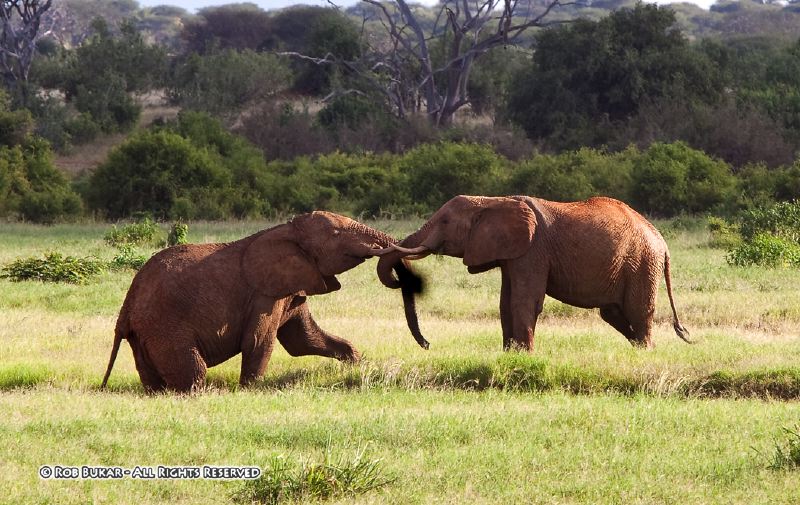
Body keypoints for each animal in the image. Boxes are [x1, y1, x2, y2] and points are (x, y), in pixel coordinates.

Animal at [100, 211, 422, 392]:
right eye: (336, 233)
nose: (425, 345)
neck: (285, 229)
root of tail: (125, 308)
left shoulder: (291, 286)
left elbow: (304, 340)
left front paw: (357, 365)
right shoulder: (264, 293)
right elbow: (259, 340)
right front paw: (252, 390)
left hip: (143, 334)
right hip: (163, 326)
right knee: (194, 371)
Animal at [378, 194, 692, 350]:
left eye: (444, 221)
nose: (428, 345)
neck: (493, 200)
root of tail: (662, 242)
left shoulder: (532, 251)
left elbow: (524, 301)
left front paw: (525, 354)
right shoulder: (513, 254)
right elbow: (506, 303)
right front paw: (510, 354)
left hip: (643, 263)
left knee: (638, 310)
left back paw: (646, 352)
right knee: (613, 313)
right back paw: (639, 349)